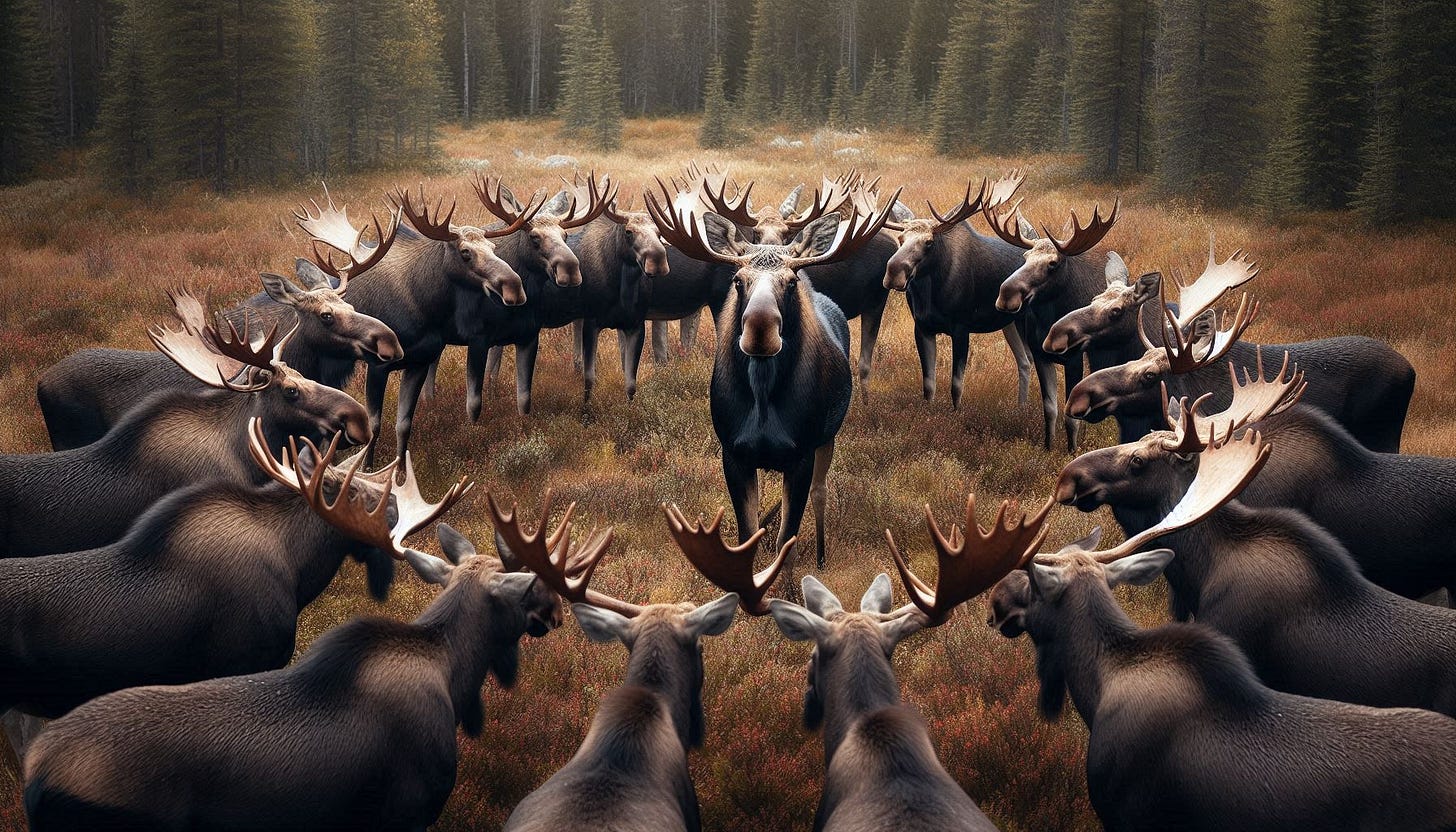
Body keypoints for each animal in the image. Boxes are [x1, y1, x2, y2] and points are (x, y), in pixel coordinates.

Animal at [296, 182, 538, 465]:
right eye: (465, 252)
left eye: (493, 247)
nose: (515, 288)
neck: (422, 304)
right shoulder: (377, 367)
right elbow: (374, 426)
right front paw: (367, 467)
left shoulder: (419, 362)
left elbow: (404, 424)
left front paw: (400, 468)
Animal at [645, 185, 900, 599]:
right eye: (738, 280)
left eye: (791, 281)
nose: (760, 328)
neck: (763, 399)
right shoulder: (733, 454)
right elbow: (747, 533)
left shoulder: (801, 455)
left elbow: (788, 538)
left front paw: (790, 592)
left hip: (827, 439)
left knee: (820, 493)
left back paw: (822, 554)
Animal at [878, 172, 1034, 412]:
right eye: (901, 238)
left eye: (929, 242)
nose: (894, 272)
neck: (930, 295)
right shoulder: (922, 327)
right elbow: (928, 385)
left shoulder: (961, 328)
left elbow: (956, 385)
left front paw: (956, 413)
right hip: (1009, 322)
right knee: (1024, 361)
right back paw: (1020, 408)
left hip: (1028, 319)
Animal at [983, 197, 1126, 451]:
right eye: (1025, 257)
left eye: (1053, 263)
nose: (1007, 293)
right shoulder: (1041, 356)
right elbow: (1050, 408)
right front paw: (1048, 446)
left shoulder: (1074, 358)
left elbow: (1071, 414)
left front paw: (1072, 450)